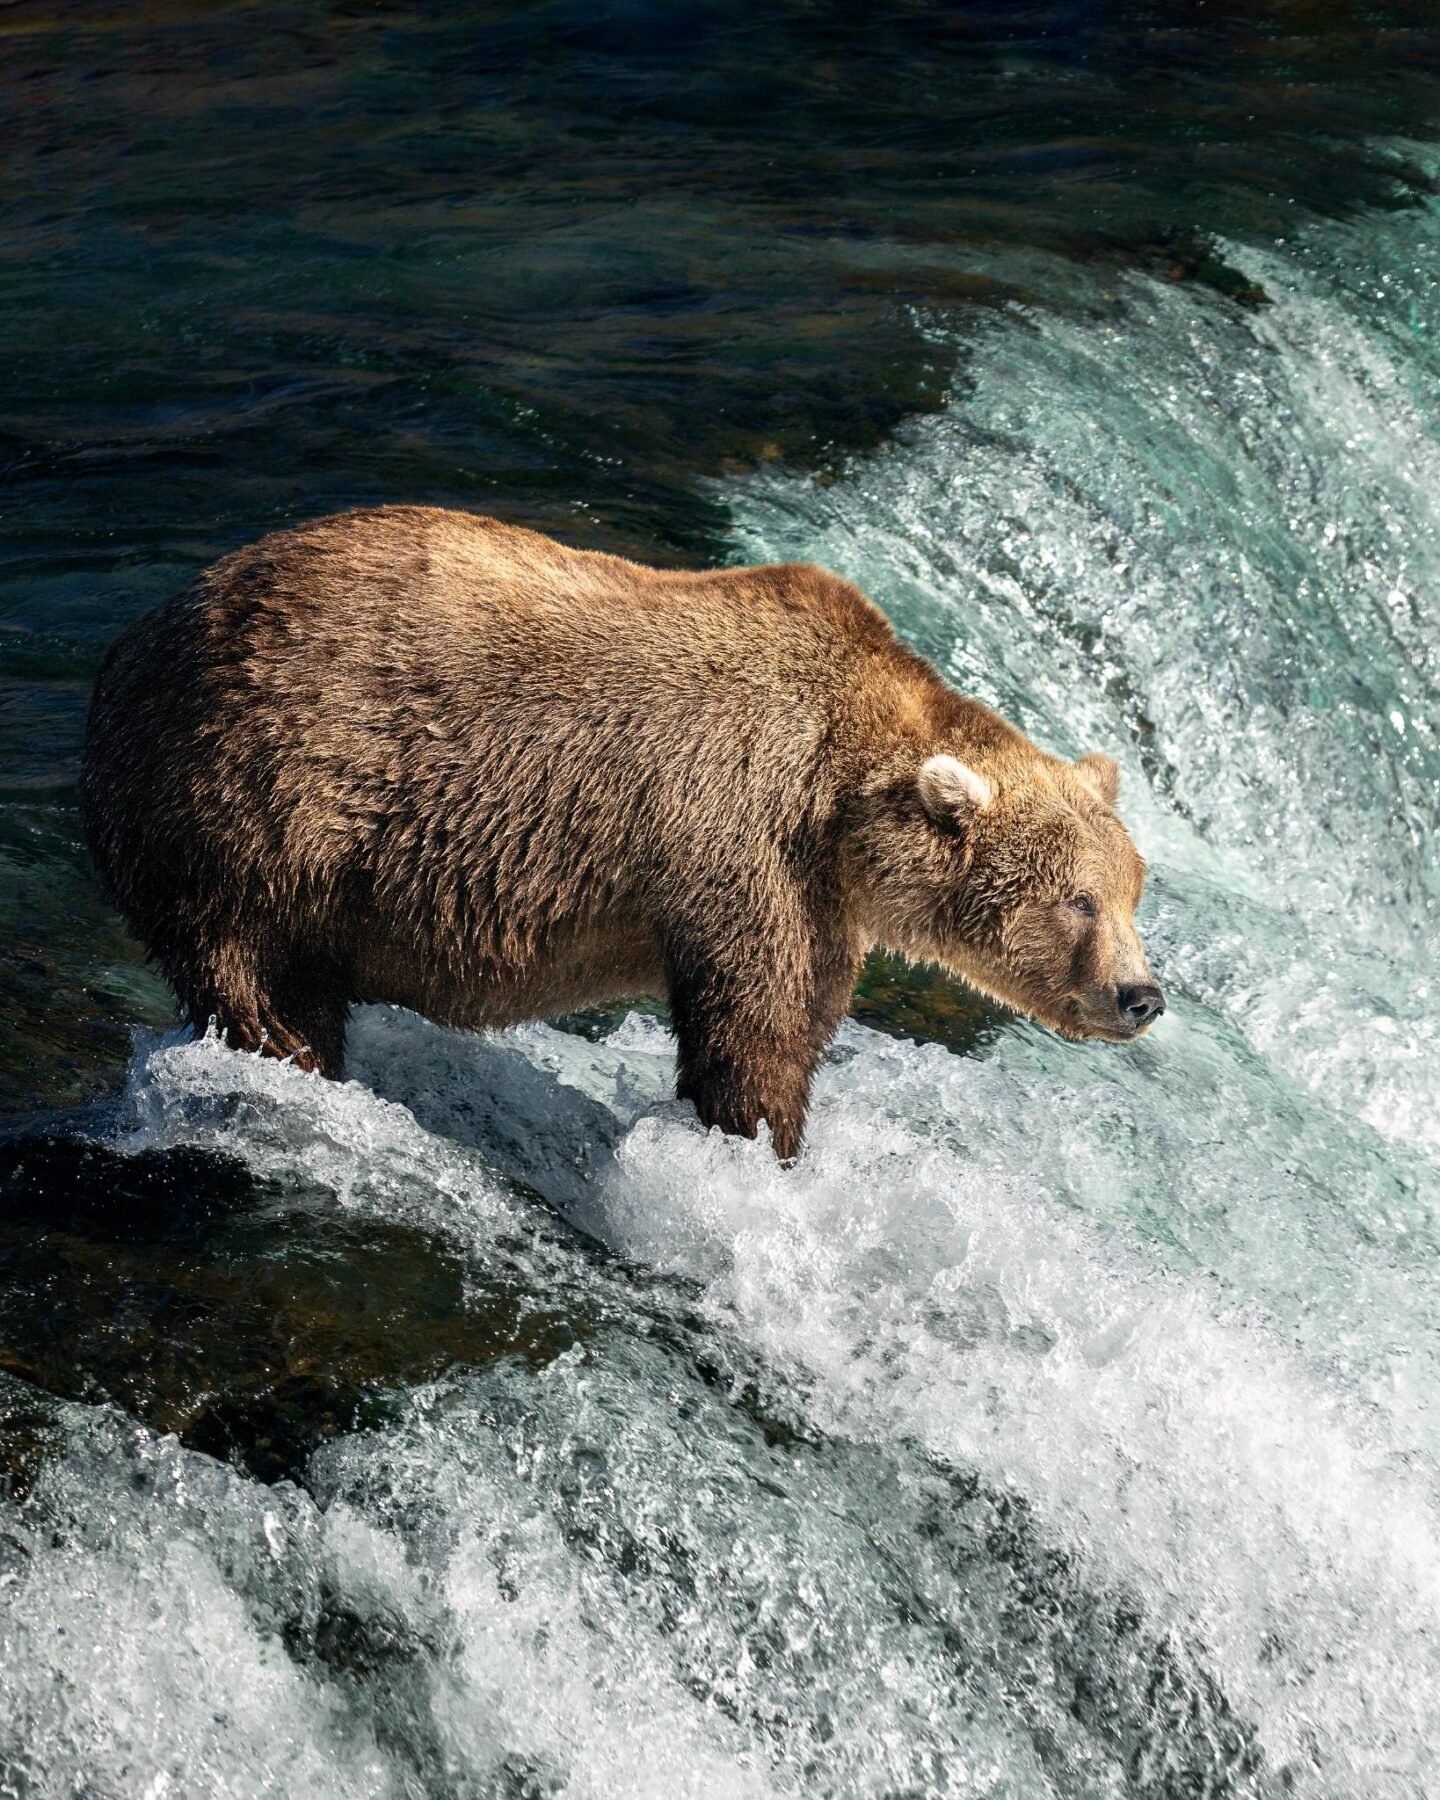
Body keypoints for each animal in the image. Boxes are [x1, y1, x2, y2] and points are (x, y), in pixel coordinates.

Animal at [78, 507, 1166, 1159]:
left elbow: (800, 1013)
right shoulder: (742, 842)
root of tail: (135, 640)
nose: (1142, 995)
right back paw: (283, 1052)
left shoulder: (817, 896)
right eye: (1076, 899)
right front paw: (761, 1141)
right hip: (267, 786)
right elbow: (755, 1023)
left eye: (1132, 894)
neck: (843, 798)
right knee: (247, 953)